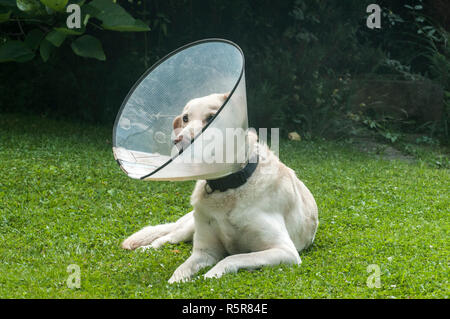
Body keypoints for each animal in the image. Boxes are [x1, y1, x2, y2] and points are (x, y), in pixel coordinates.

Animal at [121, 94, 318, 284]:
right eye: (185, 118)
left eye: (211, 117)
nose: (177, 140)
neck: (227, 186)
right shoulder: (205, 251)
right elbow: (182, 268)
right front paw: (176, 281)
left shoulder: (284, 250)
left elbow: (232, 258)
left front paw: (208, 276)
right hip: (189, 227)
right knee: (166, 238)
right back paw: (145, 249)